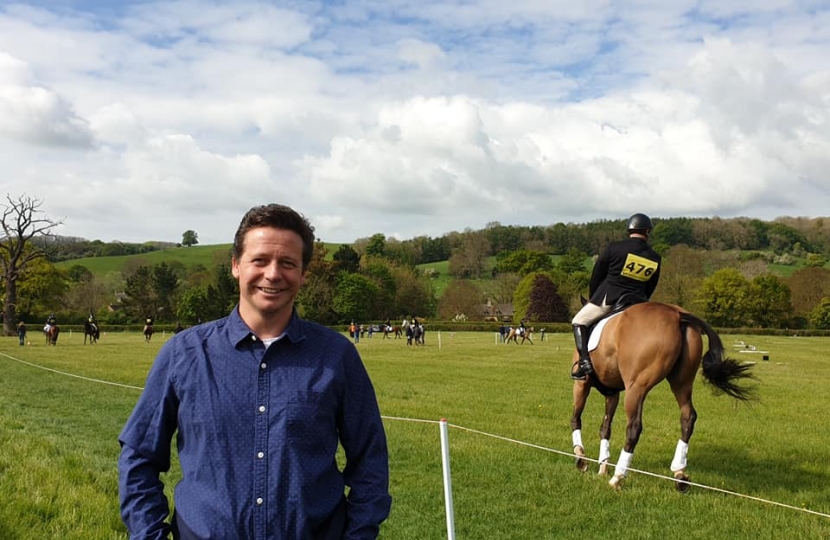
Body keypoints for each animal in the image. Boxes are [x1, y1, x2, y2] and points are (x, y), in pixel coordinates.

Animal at [572, 302, 752, 492]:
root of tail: (677, 315)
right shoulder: (612, 392)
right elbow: (605, 428)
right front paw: (603, 466)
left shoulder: (581, 385)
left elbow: (576, 418)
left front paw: (581, 458)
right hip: (682, 383)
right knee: (688, 417)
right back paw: (679, 474)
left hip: (636, 387)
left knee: (634, 427)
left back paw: (618, 478)